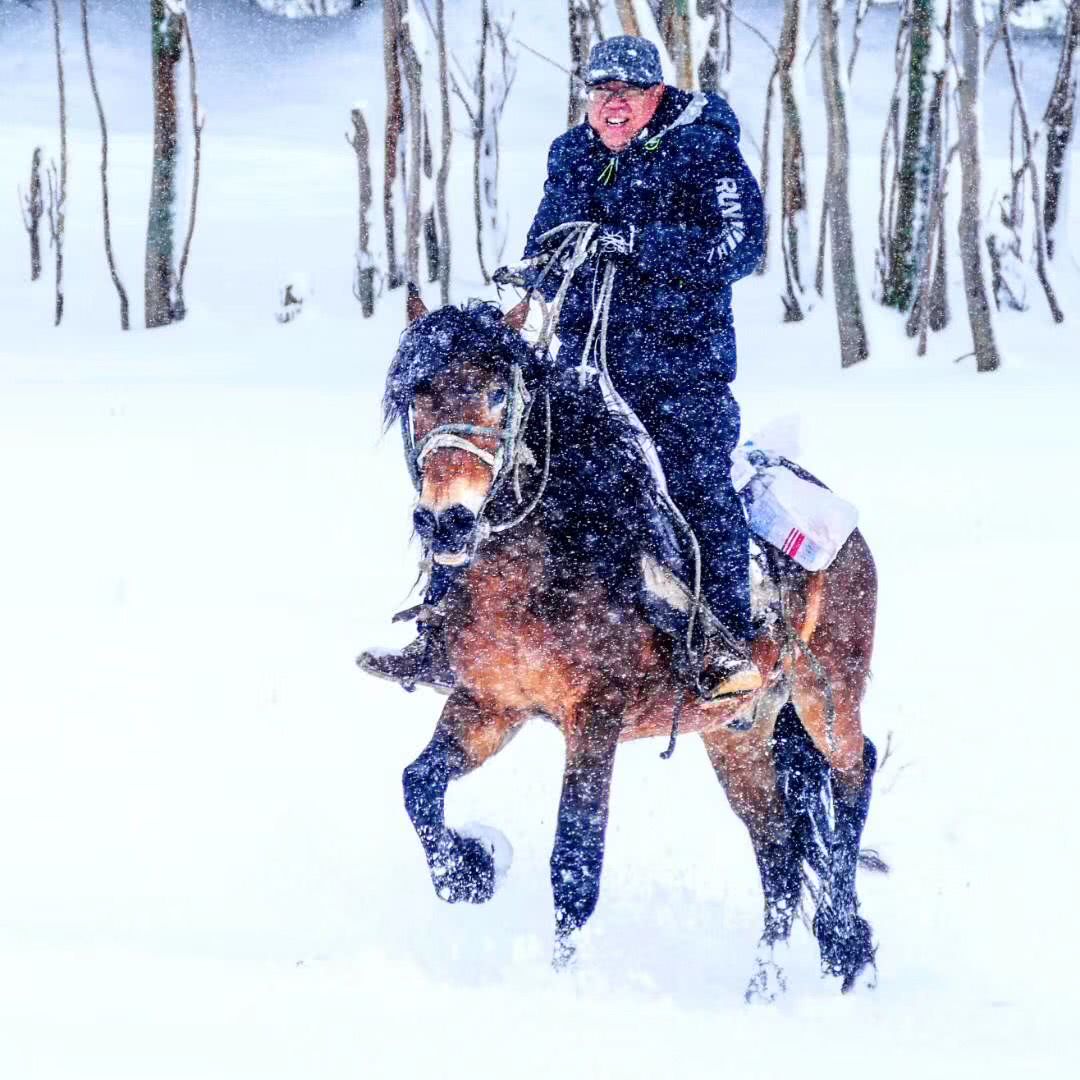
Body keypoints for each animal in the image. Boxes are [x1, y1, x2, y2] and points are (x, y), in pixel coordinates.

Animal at [375, 292, 882, 998]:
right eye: (416, 395)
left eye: (499, 394)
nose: (444, 521)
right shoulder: (489, 705)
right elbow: (418, 785)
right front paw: (472, 869)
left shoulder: (596, 717)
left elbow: (574, 863)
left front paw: (559, 983)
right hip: (739, 734)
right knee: (779, 854)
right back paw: (765, 990)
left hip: (825, 695)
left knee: (854, 774)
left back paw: (843, 938)